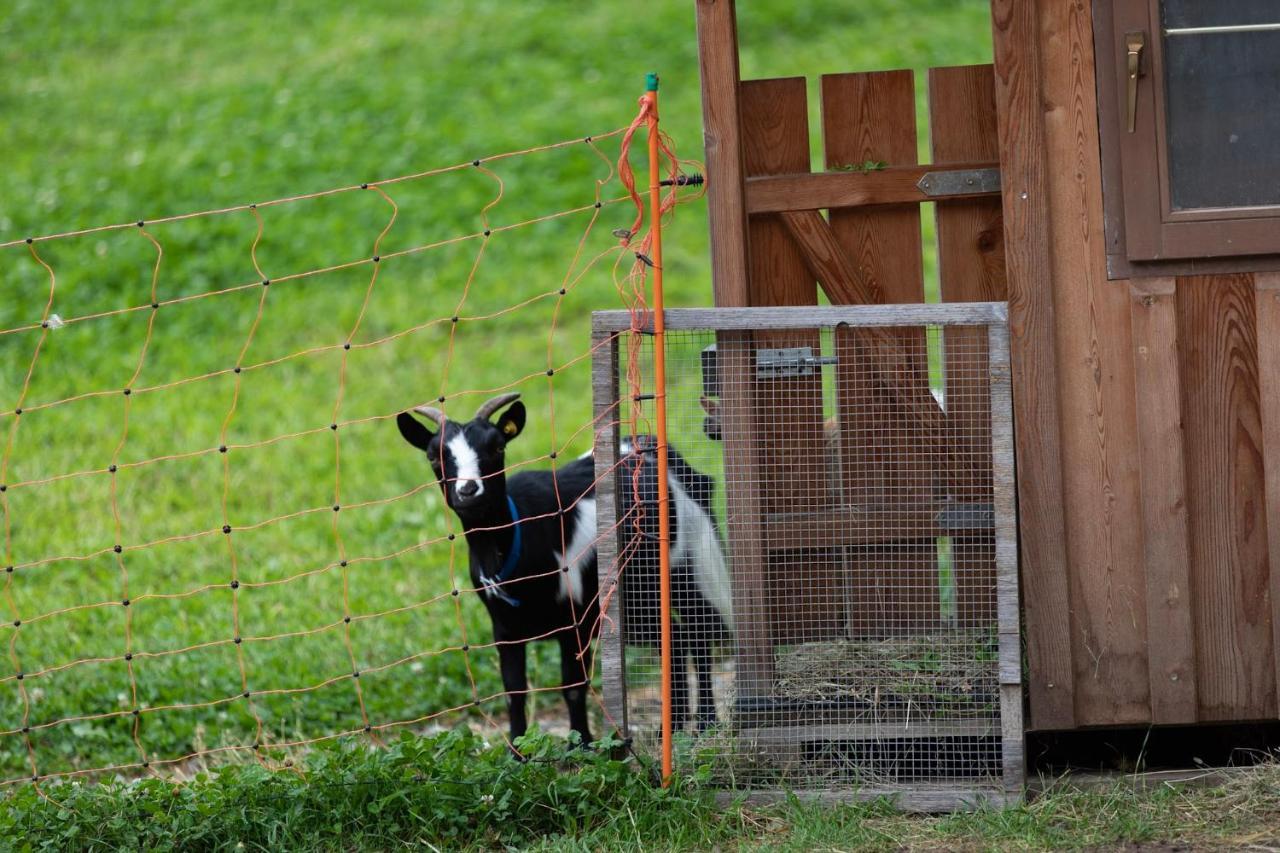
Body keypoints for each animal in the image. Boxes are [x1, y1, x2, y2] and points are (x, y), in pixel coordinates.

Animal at [391, 394, 732, 742]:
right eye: (434, 457)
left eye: (497, 447)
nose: (469, 490)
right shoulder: (504, 628)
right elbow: (514, 691)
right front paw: (517, 748)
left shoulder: (574, 618)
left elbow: (572, 685)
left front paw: (581, 742)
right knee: (678, 636)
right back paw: (674, 728)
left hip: (683, 565)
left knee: (697, 629)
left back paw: (703, 722)